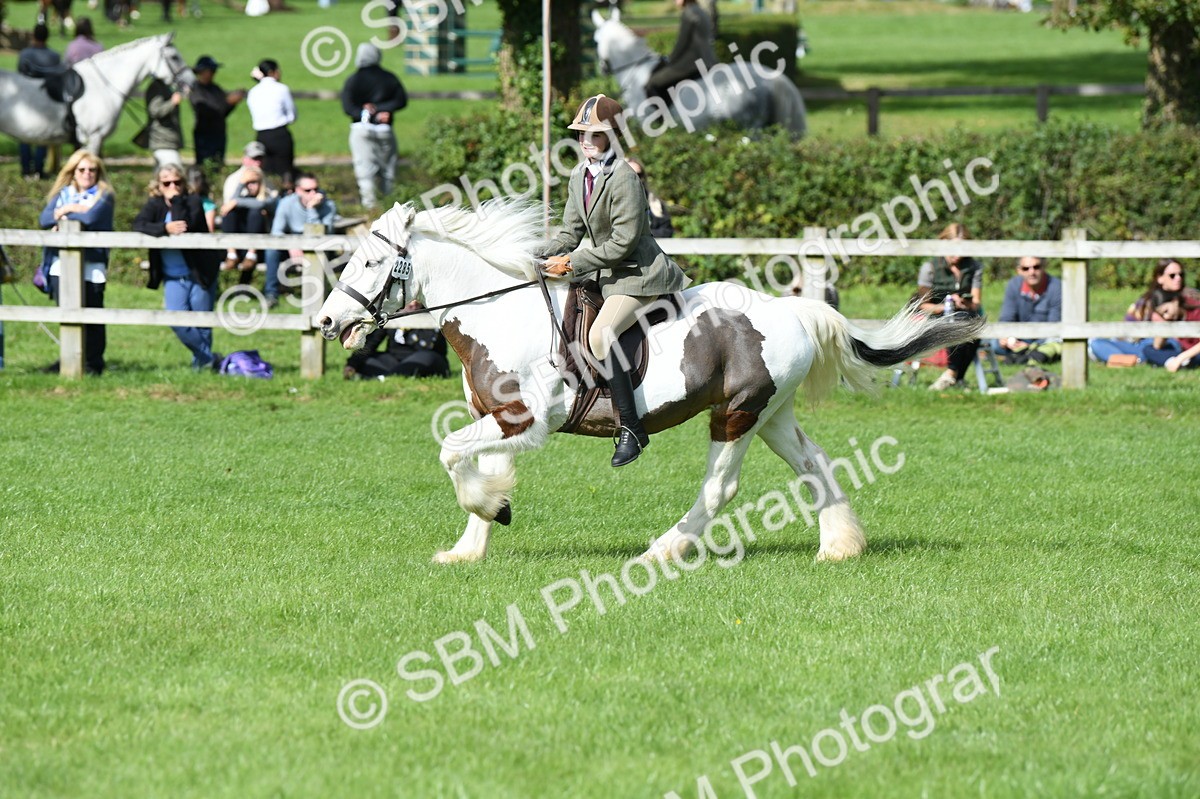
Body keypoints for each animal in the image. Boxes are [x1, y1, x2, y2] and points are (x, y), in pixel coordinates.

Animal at [316, 200, 983, 565]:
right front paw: (475, 538)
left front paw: (488, 508)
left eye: (372, 262)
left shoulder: (526, 422)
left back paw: (663, 550)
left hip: (736, 414)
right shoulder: (500, 420)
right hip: (771, 414)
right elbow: (479, 464)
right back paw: (838, 545)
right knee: (813, 462)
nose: (326, 322)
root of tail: (794, 309)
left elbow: (453, 454)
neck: (497, 314)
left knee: (719, 489)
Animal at [591, 8, 807, 138]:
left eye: (595, 40)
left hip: (751, 129)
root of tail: (770, 79)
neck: (636, 72)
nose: (602, 68)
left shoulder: (646, 124)